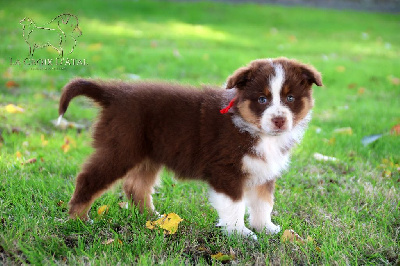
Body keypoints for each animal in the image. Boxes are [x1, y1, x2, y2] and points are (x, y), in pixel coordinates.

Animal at [58, 57, 322, 240]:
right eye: (262, 99)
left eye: (290, 98)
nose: (279, 120)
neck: (254, 130)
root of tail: (113, 93)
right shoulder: (226, 170)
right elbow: (235, 204)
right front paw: (240, 233)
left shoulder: (263, 171)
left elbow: (264, 203)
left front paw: (267, 228)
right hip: (121, 148)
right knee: (88, 179)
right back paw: (78, 220)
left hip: (148, 155)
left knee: (136, 186)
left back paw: (153, 218)